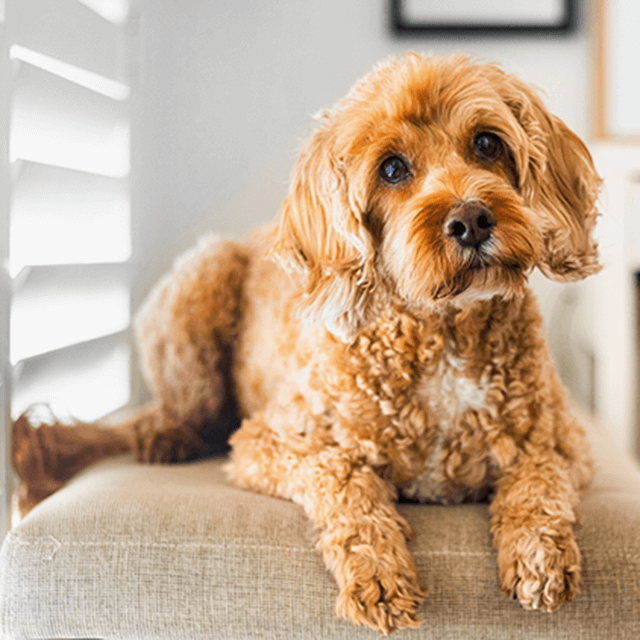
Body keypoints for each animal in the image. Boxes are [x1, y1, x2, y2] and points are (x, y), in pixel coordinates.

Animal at [16, 55, 604, 636]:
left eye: (486, 143)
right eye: (392, 169)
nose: (472, 219)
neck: (441, 332)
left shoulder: (564, 441)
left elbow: (539, 477)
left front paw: (539, 552)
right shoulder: (267, 441)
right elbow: (339, 473)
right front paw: (379, 571)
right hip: (202, 279)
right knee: (172, 413)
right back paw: (167, 437)